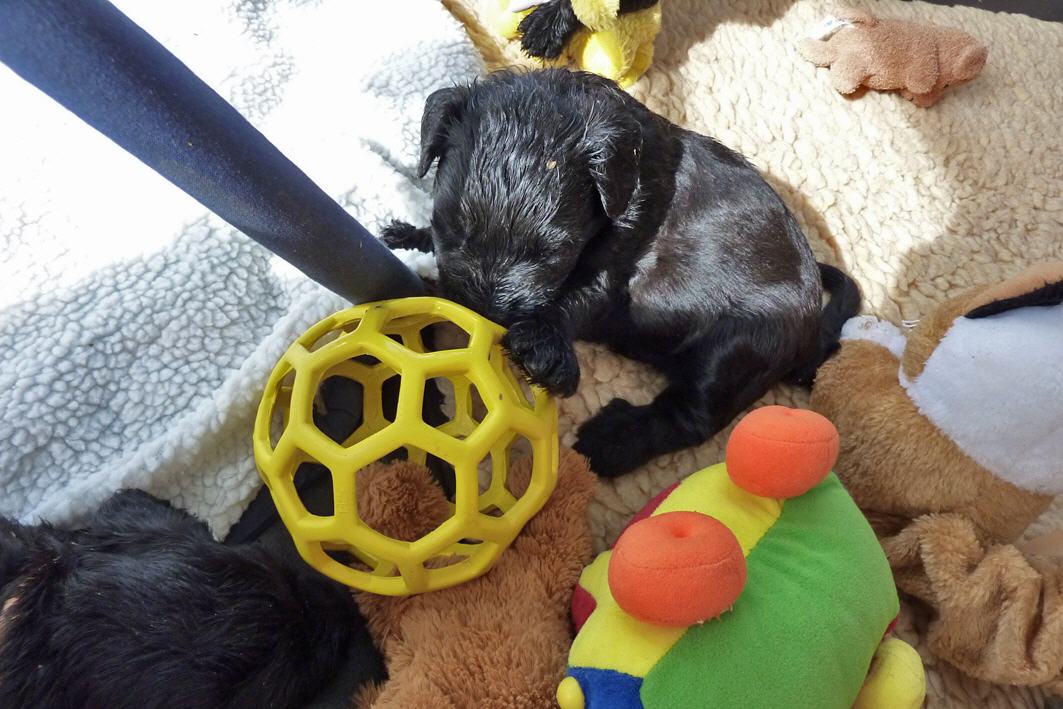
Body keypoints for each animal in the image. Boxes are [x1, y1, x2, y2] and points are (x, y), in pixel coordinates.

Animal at [383, 69, 860, 477]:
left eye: (553, 253)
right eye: (449, 226)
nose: (480, 315)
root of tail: (814, 333)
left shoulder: (618, 255)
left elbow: (575, 298)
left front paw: (545, 350)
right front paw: (408, 235)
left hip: (742, 349)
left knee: (690, 416)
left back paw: (610, 442)